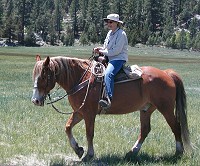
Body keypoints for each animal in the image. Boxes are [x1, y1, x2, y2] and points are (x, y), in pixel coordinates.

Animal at [31, 55, 192, 161]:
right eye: (34, 75)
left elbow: (89, 133)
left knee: (176, 126)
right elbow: (68, 127)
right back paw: (132, 152)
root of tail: (166, 73)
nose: (35, 100)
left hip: (166, 108)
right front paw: (78, 149)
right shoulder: (79, 112)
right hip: (146, 109)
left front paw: (89, 155)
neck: (80, 79)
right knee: (145, 130)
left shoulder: (89, 114)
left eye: (43, 76)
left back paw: (178, 152)